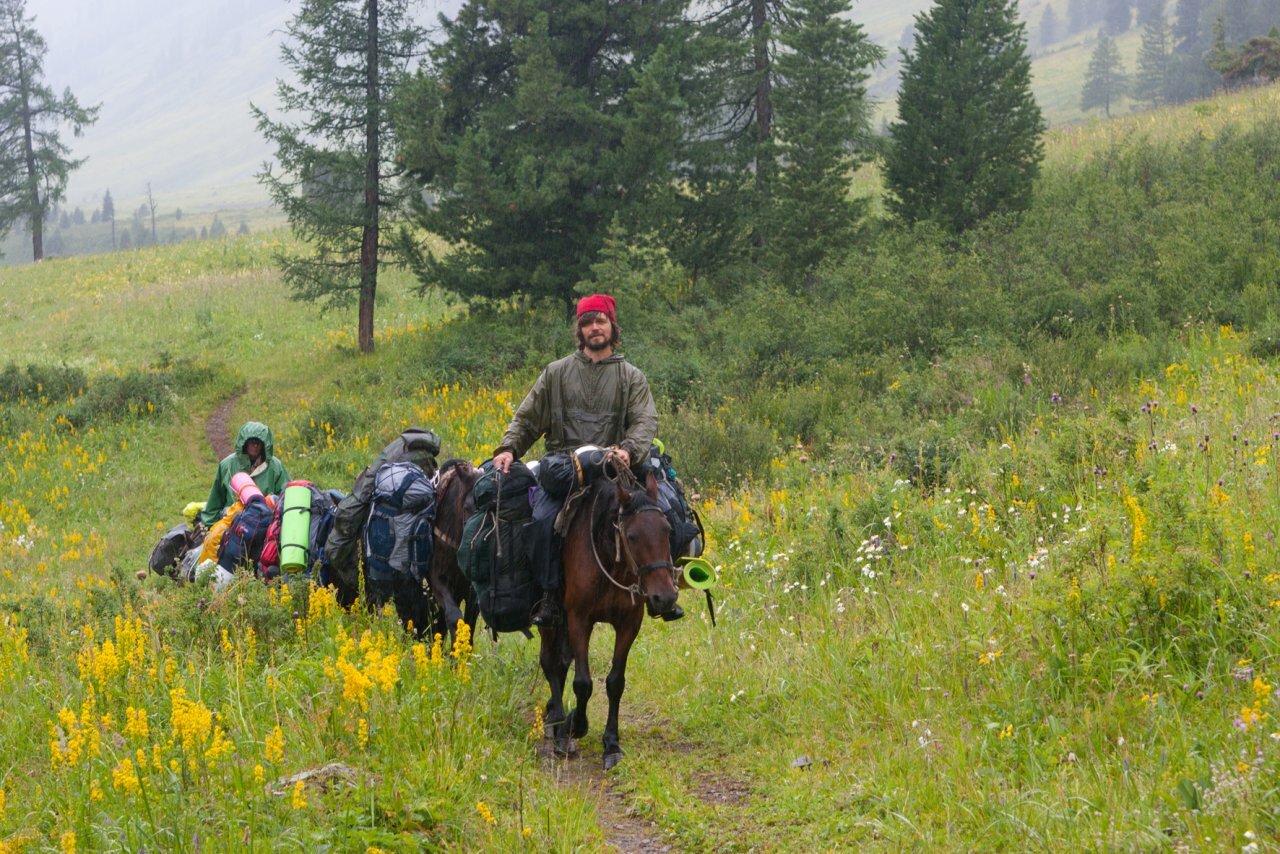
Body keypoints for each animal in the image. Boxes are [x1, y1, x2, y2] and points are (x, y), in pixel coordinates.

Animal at [540, 463, 680, 773]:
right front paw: (575, 725)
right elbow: (583, 683)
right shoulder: (579, 620)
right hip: (552, 621)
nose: (665, 598)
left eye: (667, 530)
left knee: (560, 663)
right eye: (632, 536)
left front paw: (611, 745)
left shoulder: (629, 623)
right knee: (551, 664)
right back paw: (558, 725)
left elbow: (615, 682)